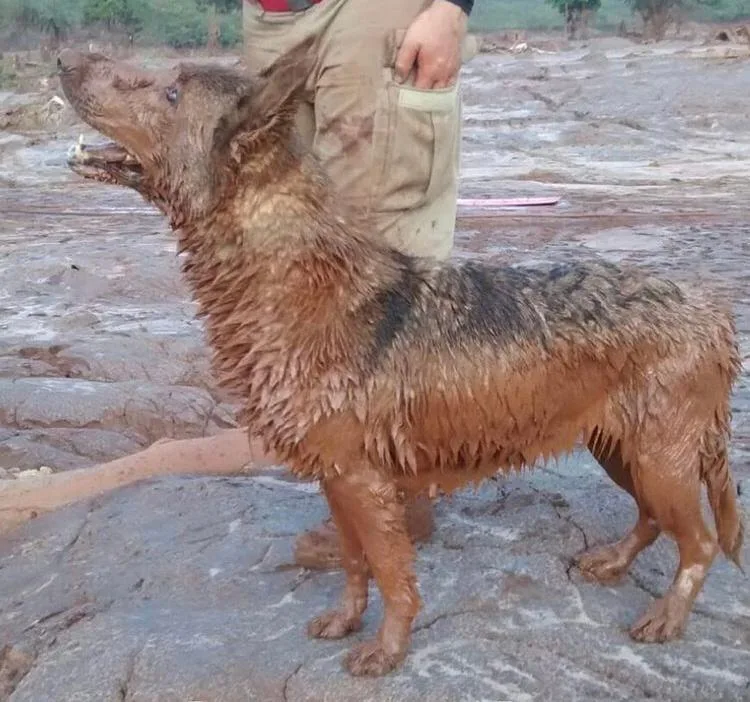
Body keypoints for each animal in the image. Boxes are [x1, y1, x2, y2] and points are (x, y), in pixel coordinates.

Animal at [60, 41, 748, 680]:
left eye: (170, 92)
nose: (64, 59)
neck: (282, 278)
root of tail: (712, 311)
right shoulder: (334, 476)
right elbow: (353, 564)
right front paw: (344, 620)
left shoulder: (363, 480)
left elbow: (393, 575)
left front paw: (387, 650)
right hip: (620, 448)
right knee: (653, 520)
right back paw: (612, 562)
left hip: (660, 457)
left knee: (702, 541)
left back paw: (666, 616)